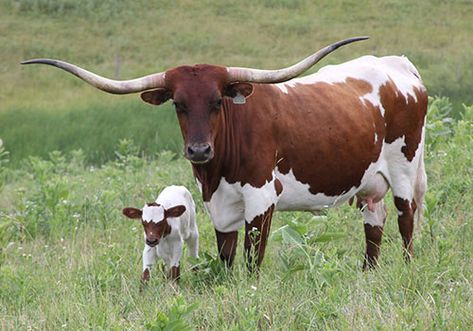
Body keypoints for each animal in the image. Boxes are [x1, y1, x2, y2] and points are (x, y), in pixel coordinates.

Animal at [22, 37, 428, 272]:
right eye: (178, 104)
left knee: (406, 220)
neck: (217, 171)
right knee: (374, 223)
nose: (199, 149)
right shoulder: (218, 204)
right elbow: (226, 255)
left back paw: (408, 269)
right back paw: (368, 272)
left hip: (404, 169)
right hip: (370, 183)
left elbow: (252, 256)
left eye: (218, 101)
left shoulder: (261, 197)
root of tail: (398, 64)